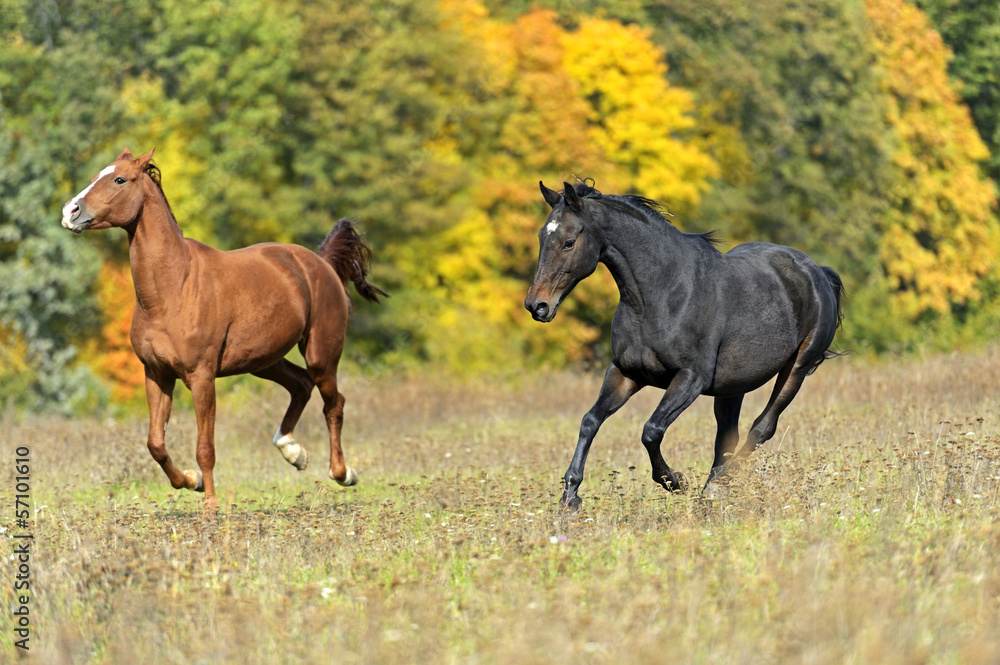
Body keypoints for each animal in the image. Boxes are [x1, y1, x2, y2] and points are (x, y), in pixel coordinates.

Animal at [61, 148, 387, 513]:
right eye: (95, 176)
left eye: (119, 179)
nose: (70, 211)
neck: (173, 289)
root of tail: (322, 264)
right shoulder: (157, 374)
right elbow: (155, 443)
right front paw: (192, 482)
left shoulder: (201, 377)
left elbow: (205, 448)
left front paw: (211, 506)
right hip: (263, 361)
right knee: (301, 385)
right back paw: (293, 452)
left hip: (321, 355)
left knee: (333, 403)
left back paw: (343, 473)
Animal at [524, 181, 843, 509]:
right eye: (541, 237)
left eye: (569, 242)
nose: (537, 306)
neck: (662, 293)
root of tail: (818, 272)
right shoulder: (626, 373)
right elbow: (590, 420)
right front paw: (570, 498)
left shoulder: (690, 379)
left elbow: (651, 431)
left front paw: (674, 481)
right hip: (732, 386)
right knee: (727, 436)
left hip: (797, 368)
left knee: (761, 428)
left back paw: (716, 486)